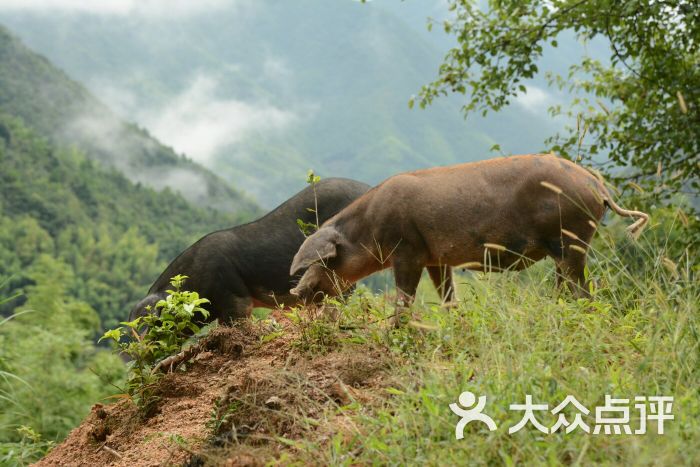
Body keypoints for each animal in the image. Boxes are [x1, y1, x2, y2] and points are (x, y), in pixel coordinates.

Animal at [288, 155, 648, 316]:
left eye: (325, 261)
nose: (296, 292)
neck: (368, 228)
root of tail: (597, 185)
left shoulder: (407, 251)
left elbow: (405, 296)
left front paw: (394, 328)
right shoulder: (435, 257)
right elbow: (446, 293)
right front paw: (453, 319)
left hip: (570, 238)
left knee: (581, 289)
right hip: (566, 246)